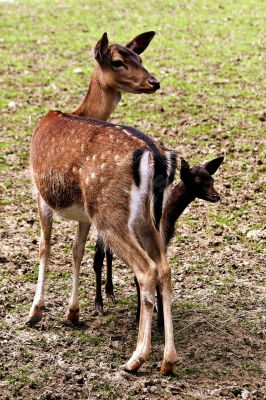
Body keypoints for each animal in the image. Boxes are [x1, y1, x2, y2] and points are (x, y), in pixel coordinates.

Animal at [29, 111, 177, 374]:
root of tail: (155, 156)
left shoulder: (41, 195)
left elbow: (44, 247)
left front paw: (35, 312)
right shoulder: (84, 215)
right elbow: (76, 251)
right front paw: (72, 313)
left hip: (108, 212)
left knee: (147, 269)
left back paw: (136, 359)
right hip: (150, 220)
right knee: (165, 269)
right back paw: (167, 361)